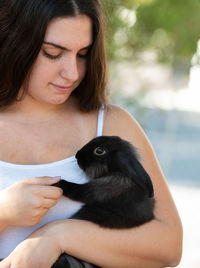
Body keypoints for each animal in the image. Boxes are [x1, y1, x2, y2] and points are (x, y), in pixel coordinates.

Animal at [51, 136, 155, 268]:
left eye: (99, 151)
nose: (77, 155)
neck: (119, 173)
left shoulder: (97, 190)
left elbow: (75, 189)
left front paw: (58, 183)